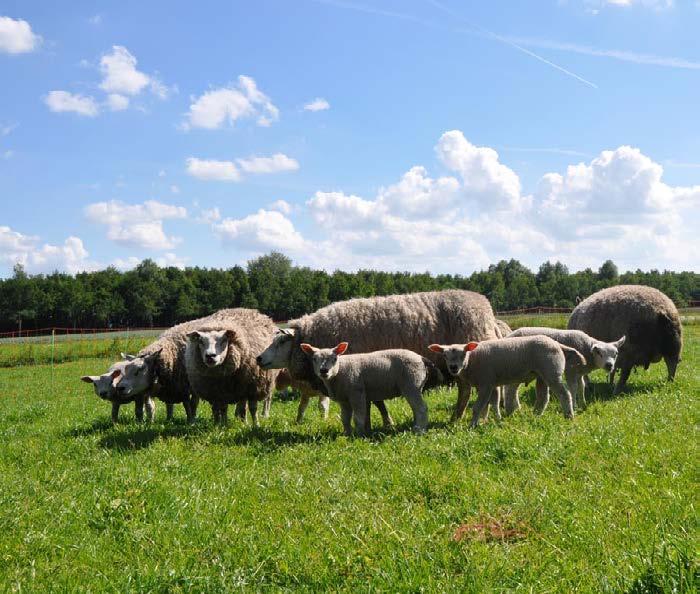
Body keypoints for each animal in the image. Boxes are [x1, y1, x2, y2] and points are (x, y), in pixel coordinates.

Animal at [300, 340, 438, 432]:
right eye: (314, 359)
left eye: (334, 359)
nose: (324, 370)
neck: (340, 372)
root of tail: (421, 358)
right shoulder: (344, 399)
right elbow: (345, 418)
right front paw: (347, 433)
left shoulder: (356, 393)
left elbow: (358, 417)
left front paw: (358, 435)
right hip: (414, 385)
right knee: (416, 408)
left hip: (412, 384)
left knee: (421, 408)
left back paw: (419, 430)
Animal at [426, 332, 584, 426]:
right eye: (445, 355)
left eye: (463, 354)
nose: (453, 367)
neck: (472, 360)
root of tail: (557, 344)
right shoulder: (486, 384)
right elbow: (486, 405)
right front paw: (483, 421)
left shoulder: (486, 382)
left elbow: (478, 406)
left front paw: (472, 425)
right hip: (542, 375)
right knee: (543, 397)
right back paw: (536, 416)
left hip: (552, 372)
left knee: (564, 394)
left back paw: (569, 416)